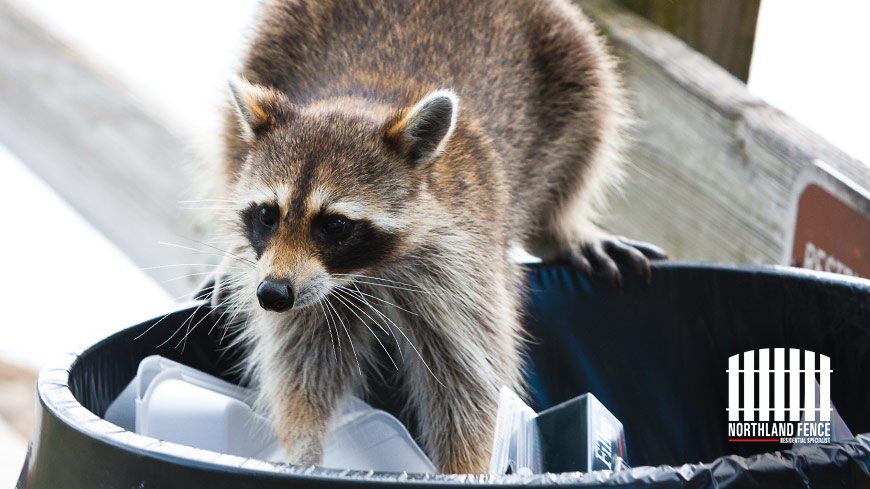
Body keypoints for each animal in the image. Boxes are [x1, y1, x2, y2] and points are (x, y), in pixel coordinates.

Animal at [208, 0, 664, 472]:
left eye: (334, 225)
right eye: (268, 215)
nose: (272, 294)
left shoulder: (464, 266)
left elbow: (471, 383)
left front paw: (467, 468)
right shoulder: (301, 284)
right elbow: (301, 359)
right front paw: (303, 446)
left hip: (568, 55)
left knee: (589, 128)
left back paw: (562, 228)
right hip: (273, 41)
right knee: (231, 143)